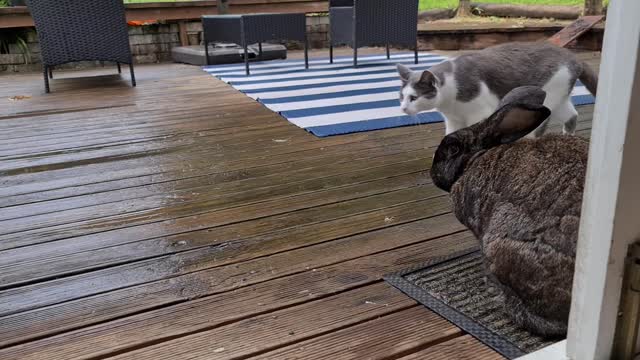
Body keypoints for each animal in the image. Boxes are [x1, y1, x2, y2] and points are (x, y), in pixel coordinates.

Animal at [398, 41, 596, 136]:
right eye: (401, 97)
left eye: (413, 97)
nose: (403, 108)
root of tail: (574, 57)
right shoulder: (453, 120)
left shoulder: (479, 113)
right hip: (560, 97)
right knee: (572, 115)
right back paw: (567, 136)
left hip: (548, 95)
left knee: (540, 125)